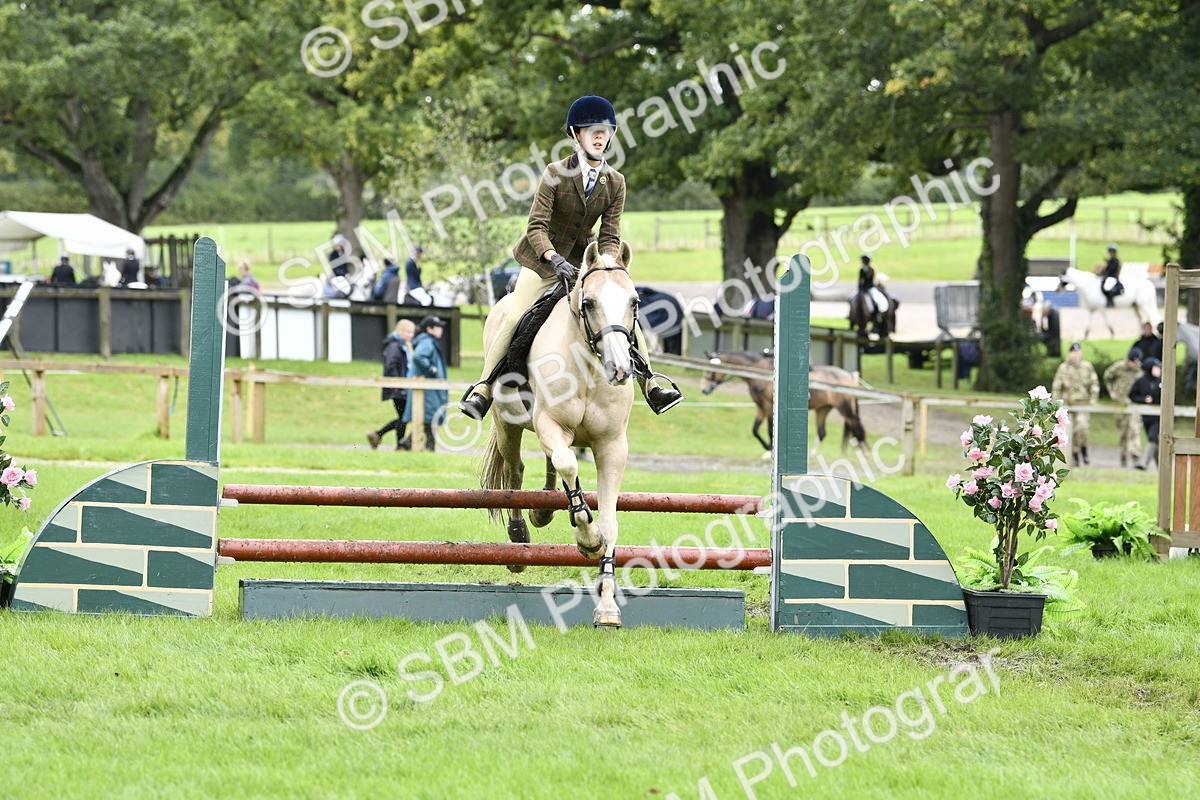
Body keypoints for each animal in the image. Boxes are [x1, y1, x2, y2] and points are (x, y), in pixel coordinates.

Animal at [479, 241, 637, 627]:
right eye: (589, 303)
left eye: (634, 302)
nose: (620, 369)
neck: (589, 369)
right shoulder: (550, 424)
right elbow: (568, 465)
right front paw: (588, 539)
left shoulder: (612, 446)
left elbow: (610, 520)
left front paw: (607, 606)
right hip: (507, 424)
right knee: (515, 471)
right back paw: (520, 537)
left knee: (551, 465)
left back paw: (544, 510)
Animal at [700, 351, 868, 454]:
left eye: (710, 370)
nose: (704, 389)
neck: (757, 372)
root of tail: (849, 377)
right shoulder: (760, 408)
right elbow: (755, 430)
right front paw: (767, 448)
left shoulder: (768, 407)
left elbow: (769, 431)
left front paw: (769, 450)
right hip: (823, 409)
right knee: (822, 433)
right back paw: (812, 454)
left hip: (845, 408)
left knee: (857, 428)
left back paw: (865, 455)